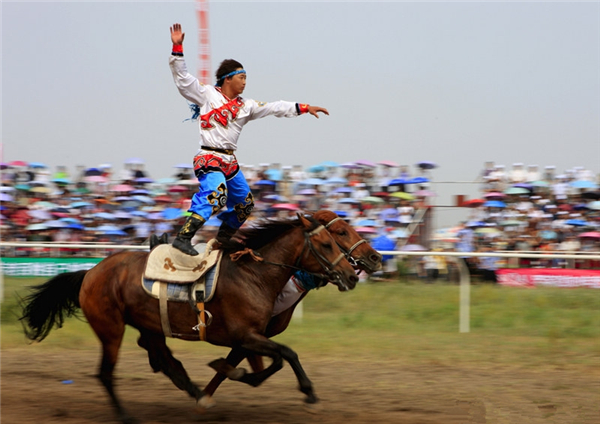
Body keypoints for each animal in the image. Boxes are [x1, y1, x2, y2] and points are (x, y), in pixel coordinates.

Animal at [22, 214, 360, 422]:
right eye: (328, 243)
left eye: (337, 239)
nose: (351, 275)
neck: (254, 274)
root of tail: (90, 272)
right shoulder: (245, 335)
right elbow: (287, 354)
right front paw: (309, 392)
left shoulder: (249, 337)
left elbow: (273, 360)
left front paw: (228, 374)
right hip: (110, 328)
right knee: (106, 373)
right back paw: (126, 415)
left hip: (149, 325)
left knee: (164, 359)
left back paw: (195, 391)